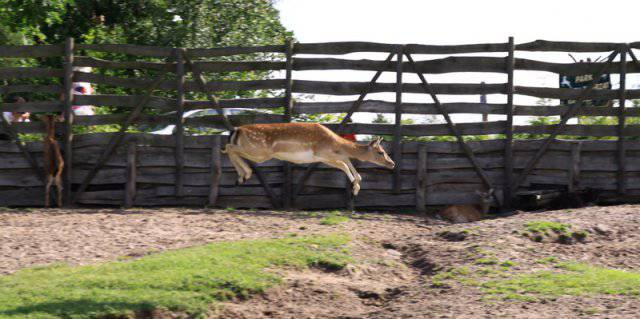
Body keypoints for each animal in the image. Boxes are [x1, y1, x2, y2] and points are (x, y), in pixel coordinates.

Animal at [222, 122, 398, 196]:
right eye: (381, 152)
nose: (392, 163)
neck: (335, 142)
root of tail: (237, 130)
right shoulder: (323, 153)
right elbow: (344, 162)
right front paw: (356, 186)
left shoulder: (323, 157)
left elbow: (344, 163)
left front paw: (356, 187)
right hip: (260, 151)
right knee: (228, 147)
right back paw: (244, 174)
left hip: (257, 151)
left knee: (230, 148)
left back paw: (241, 178)